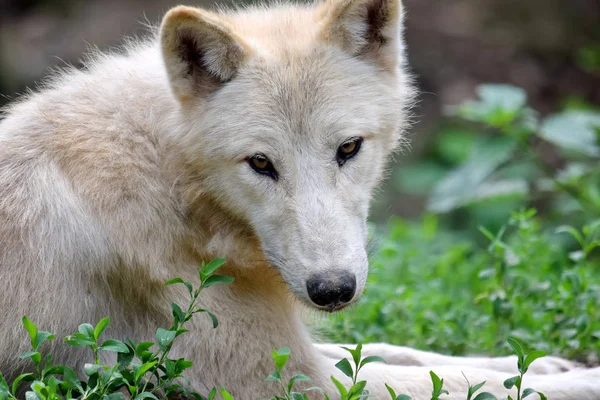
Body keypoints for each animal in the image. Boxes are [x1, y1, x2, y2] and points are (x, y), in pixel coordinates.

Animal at [1, 0, 600, 398]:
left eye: (349, 147)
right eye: (261, 163)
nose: (332, 289)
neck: (171, 185)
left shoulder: (296, 343)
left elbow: (411, 354)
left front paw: (544, 362)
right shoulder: (289, 382)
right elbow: (453, 381)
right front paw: (577, 377)